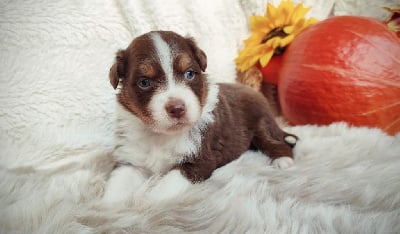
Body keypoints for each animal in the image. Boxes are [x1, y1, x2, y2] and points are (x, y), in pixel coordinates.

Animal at [103, 31, 296, 203]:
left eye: (189, 73)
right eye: (144, 82)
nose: (177, 108)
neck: (160, 135)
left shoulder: (199, 159)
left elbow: (162, 189)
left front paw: (145, 204)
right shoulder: (130, 158)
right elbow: (116, 187)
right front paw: (107, 208)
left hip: (261, 123)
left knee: (274, 142)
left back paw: (283, 160)